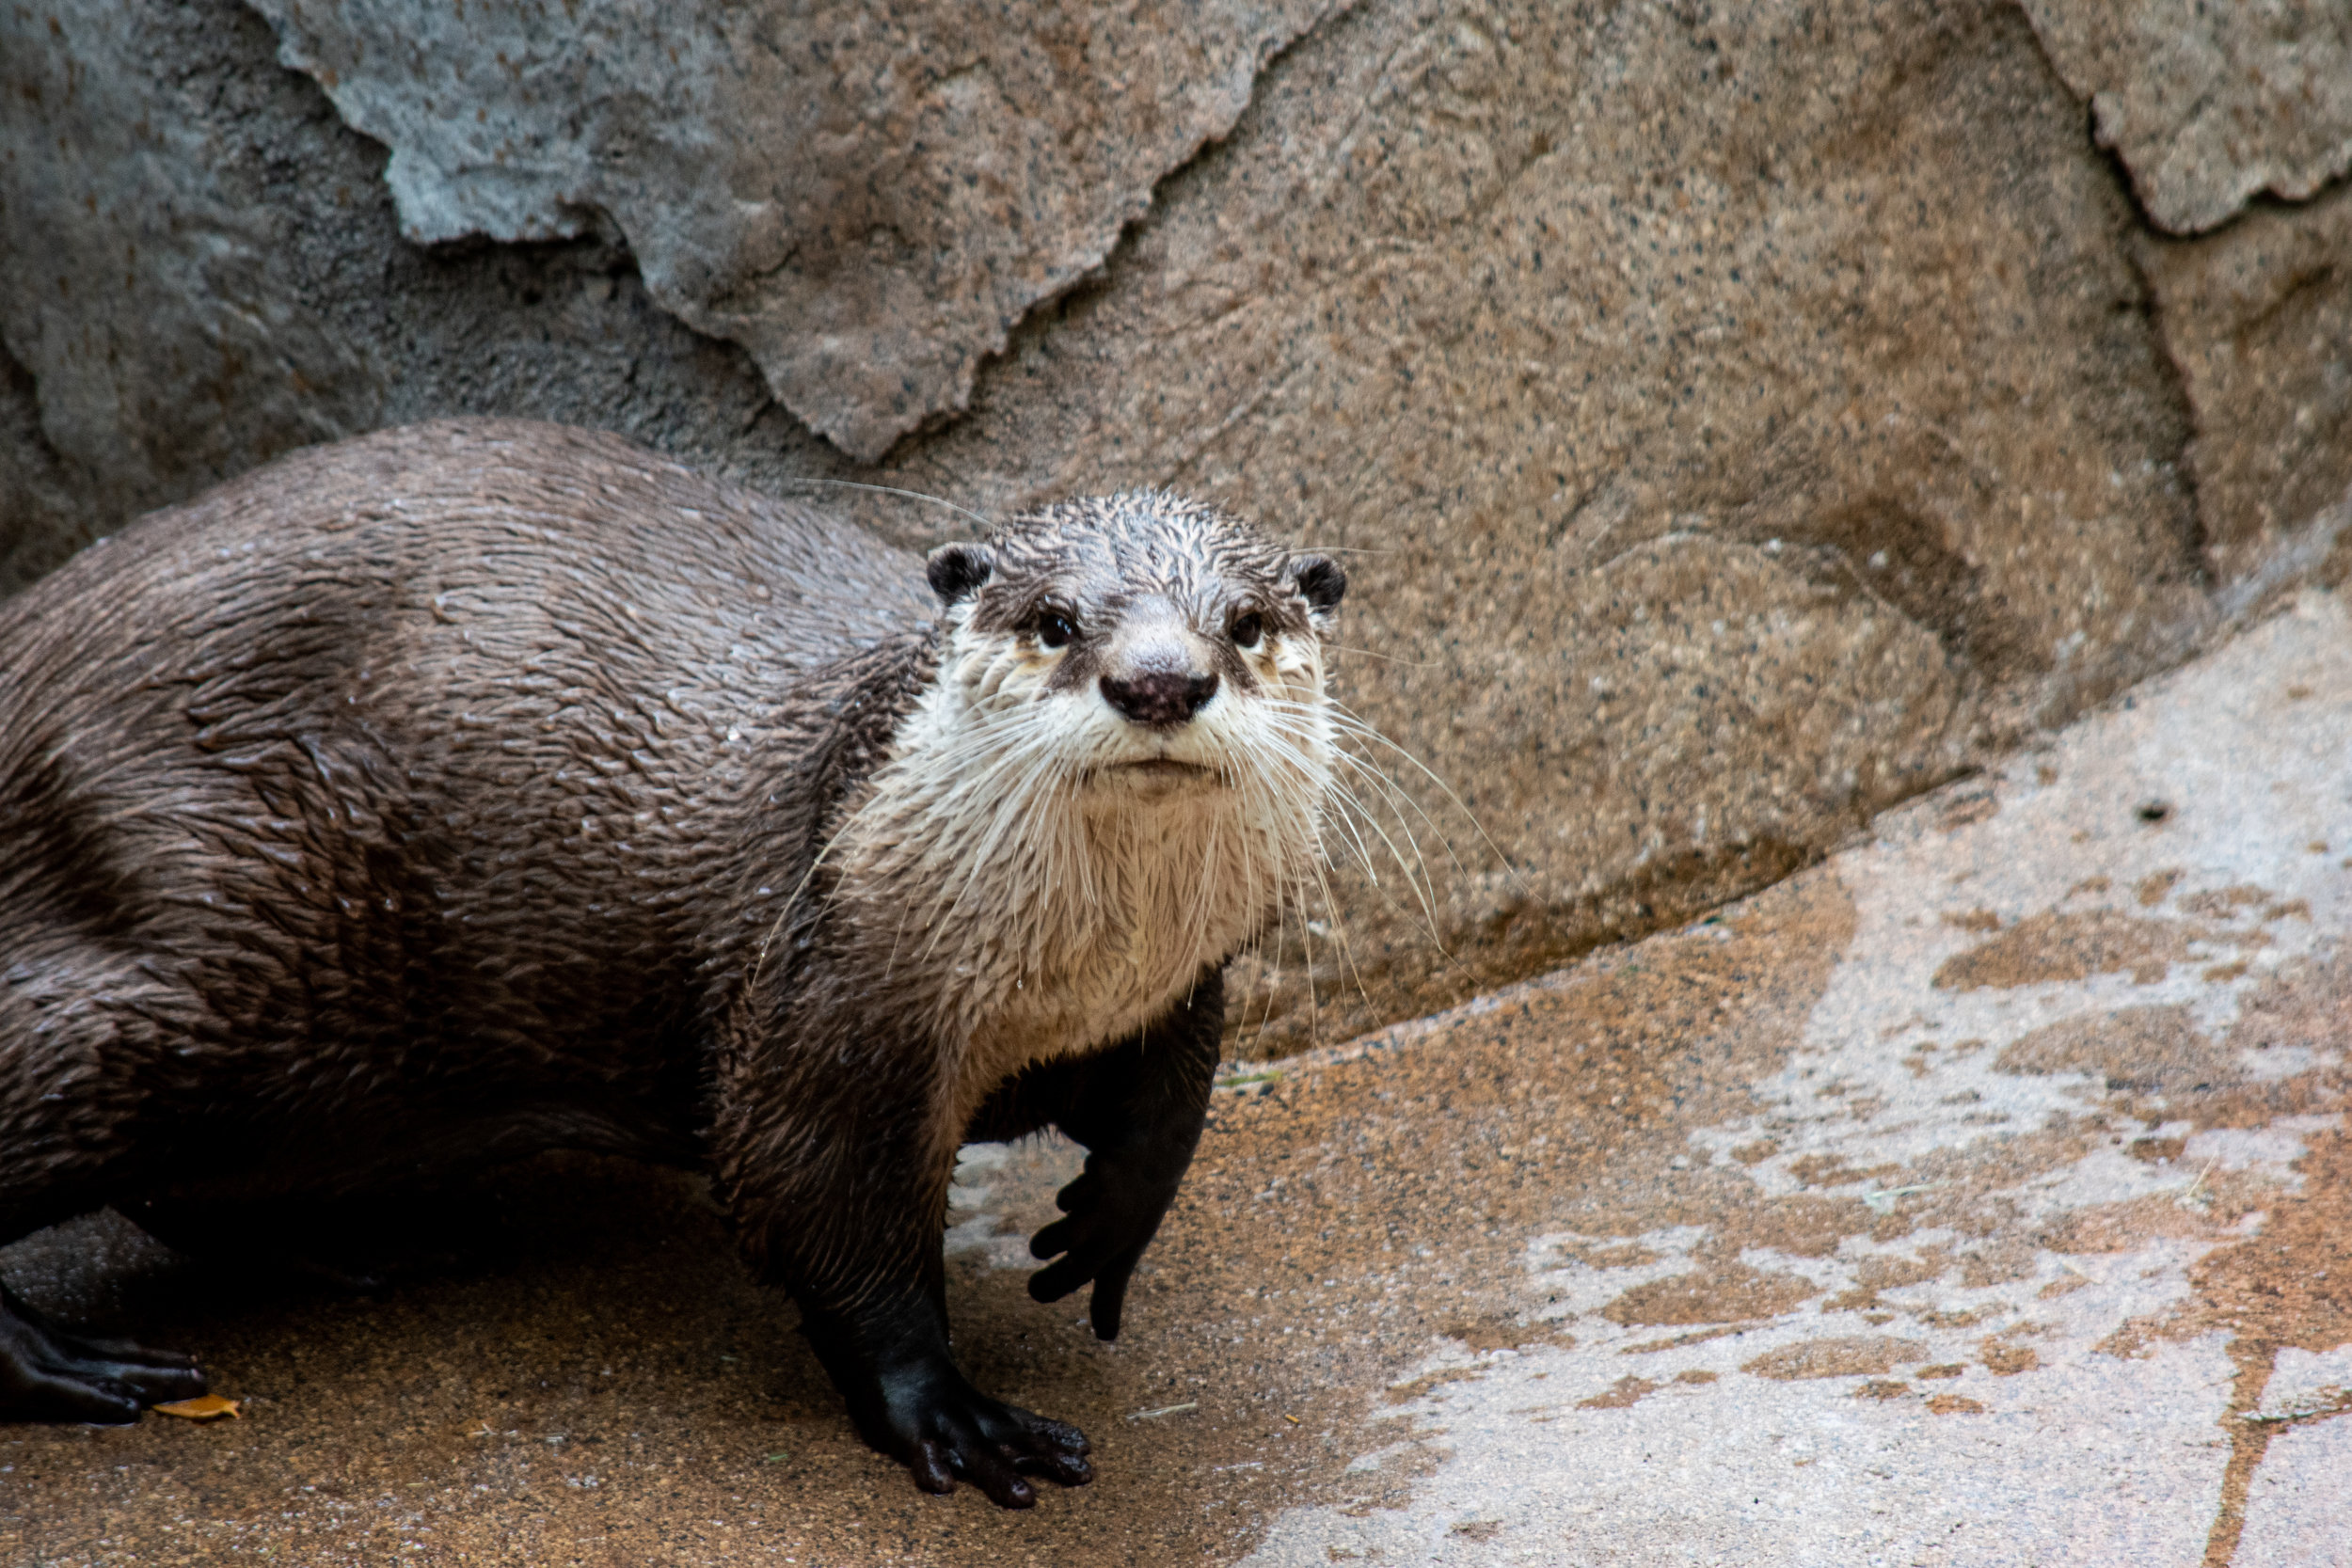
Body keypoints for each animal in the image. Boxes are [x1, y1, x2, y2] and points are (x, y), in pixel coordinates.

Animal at [0, 419, 1345, 1506]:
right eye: (1056, 621)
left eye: (1245, 624)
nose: (1159, 679)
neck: (1057, 985)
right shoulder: (817, 992)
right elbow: (816, 1199)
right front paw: (949, 1410)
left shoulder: (1176, 983)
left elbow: (1173, 1107)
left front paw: (1102, 1228)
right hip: (203, 958)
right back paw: (66, 1363)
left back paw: (365, 1240)